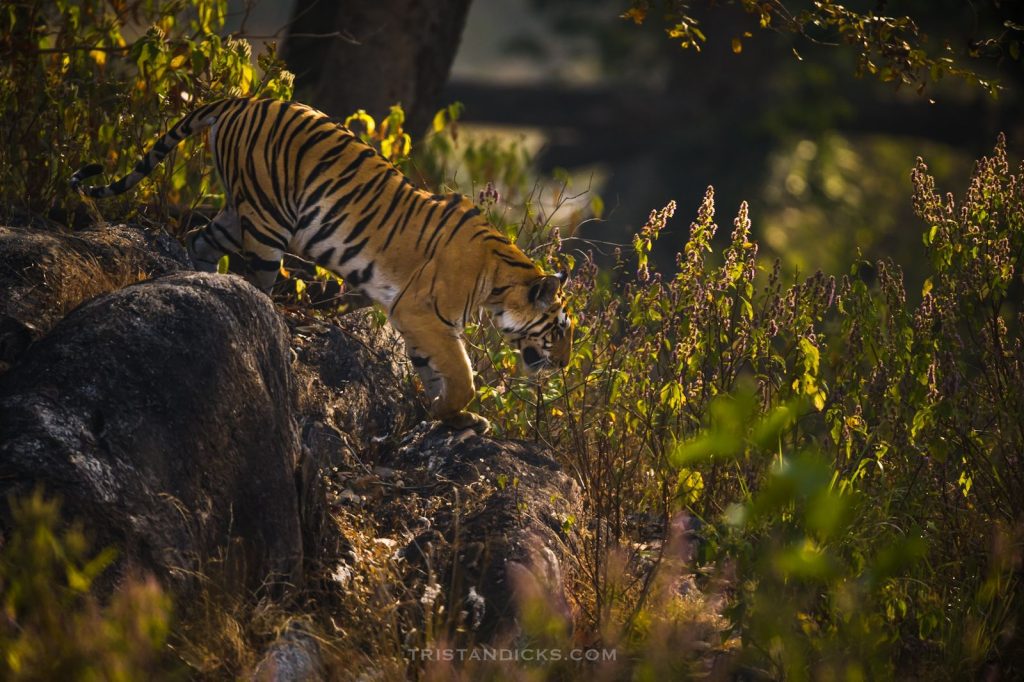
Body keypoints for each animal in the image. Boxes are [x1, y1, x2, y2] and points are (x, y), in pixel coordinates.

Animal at [70, 98, 573, 433]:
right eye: (560, 330)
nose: (564, 364)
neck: (499, 284)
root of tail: (246, 98)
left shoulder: (415, 320)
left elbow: (433, 372)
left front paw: (450, 417)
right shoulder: (422, 312)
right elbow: (461, 373)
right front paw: (455, 412)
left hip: (238, 212)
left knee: (201, 241)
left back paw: (198, 278)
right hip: (268, 221)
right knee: (257, 286)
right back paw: (276, 334)